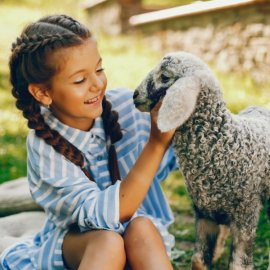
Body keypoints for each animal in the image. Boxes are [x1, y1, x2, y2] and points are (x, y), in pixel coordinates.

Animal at [132, 51, 270, 270]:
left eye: (165, 76)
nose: (135, 96)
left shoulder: (246, 217)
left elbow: (238, 264)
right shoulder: (205, 213)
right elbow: (198, 259)